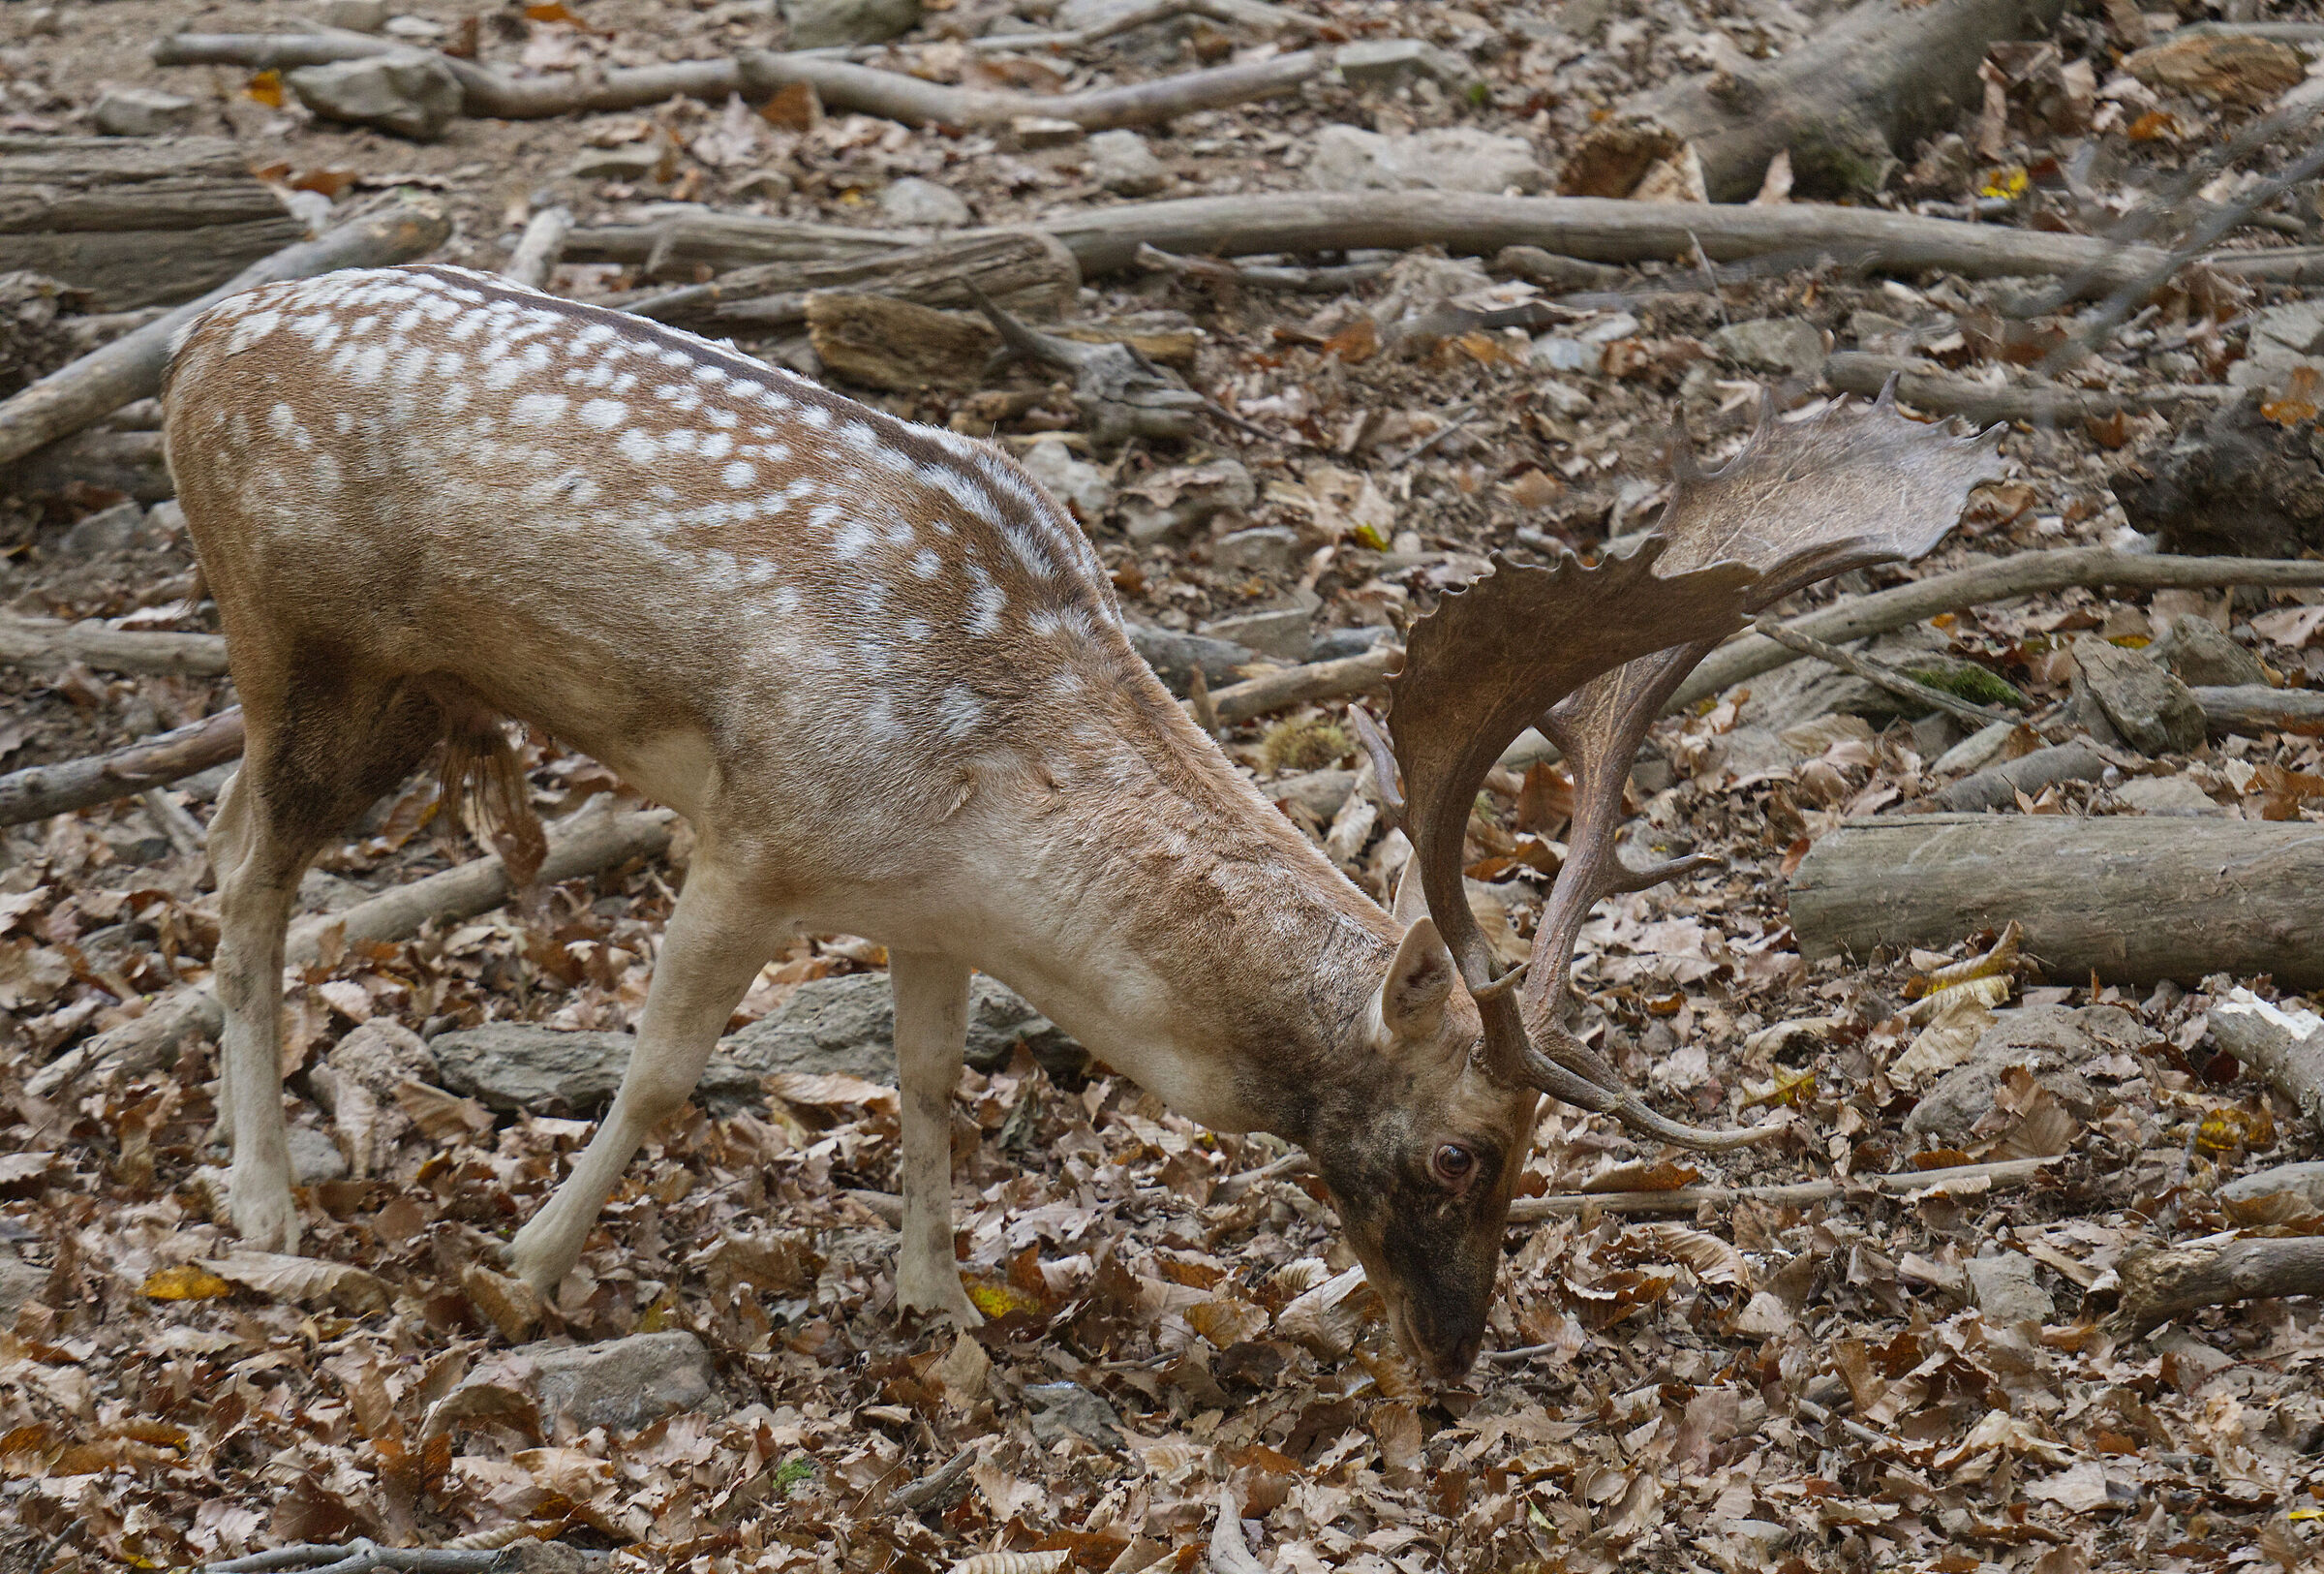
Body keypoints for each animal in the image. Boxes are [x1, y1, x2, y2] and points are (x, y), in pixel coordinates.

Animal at [161, 263, 2001, 1378]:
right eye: (1466, 1149)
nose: (1459, 1348)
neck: (987, 809)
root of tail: (195, 345)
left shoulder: (917, 909)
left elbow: (927, 1084)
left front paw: (936, 1308)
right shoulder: (756, 828)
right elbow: (666, 1070)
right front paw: (523, 1270)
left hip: (403, 699)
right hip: (300, 652)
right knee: (238, 870)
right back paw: (258, 1204)